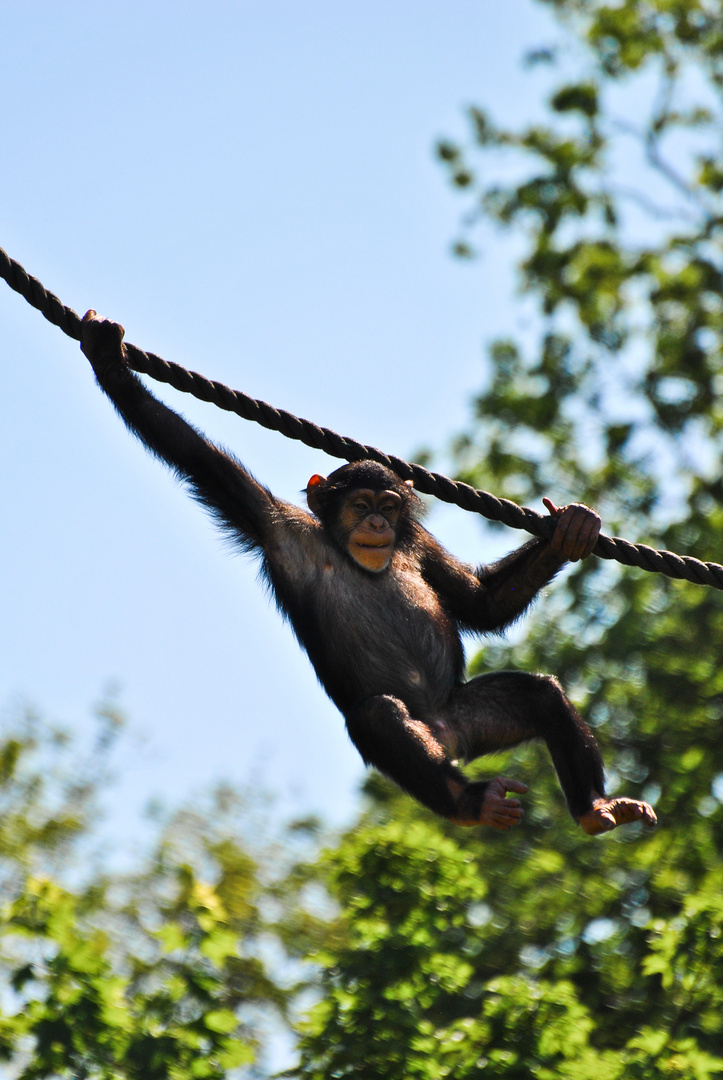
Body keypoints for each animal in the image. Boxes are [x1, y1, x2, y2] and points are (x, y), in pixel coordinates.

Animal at [78, 313, 652, 833]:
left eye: (390, 506)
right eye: (359, 504)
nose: (377, 521)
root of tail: (444, 739)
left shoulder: (418, 543)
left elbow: (478, 604)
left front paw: (569, 532)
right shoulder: (275, 525)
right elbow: (194, 455)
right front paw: (108, 360)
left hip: (473, 718)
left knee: (540, 695)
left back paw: (594, 807)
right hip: (430, 742)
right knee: (378, 717)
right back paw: (473, 802)